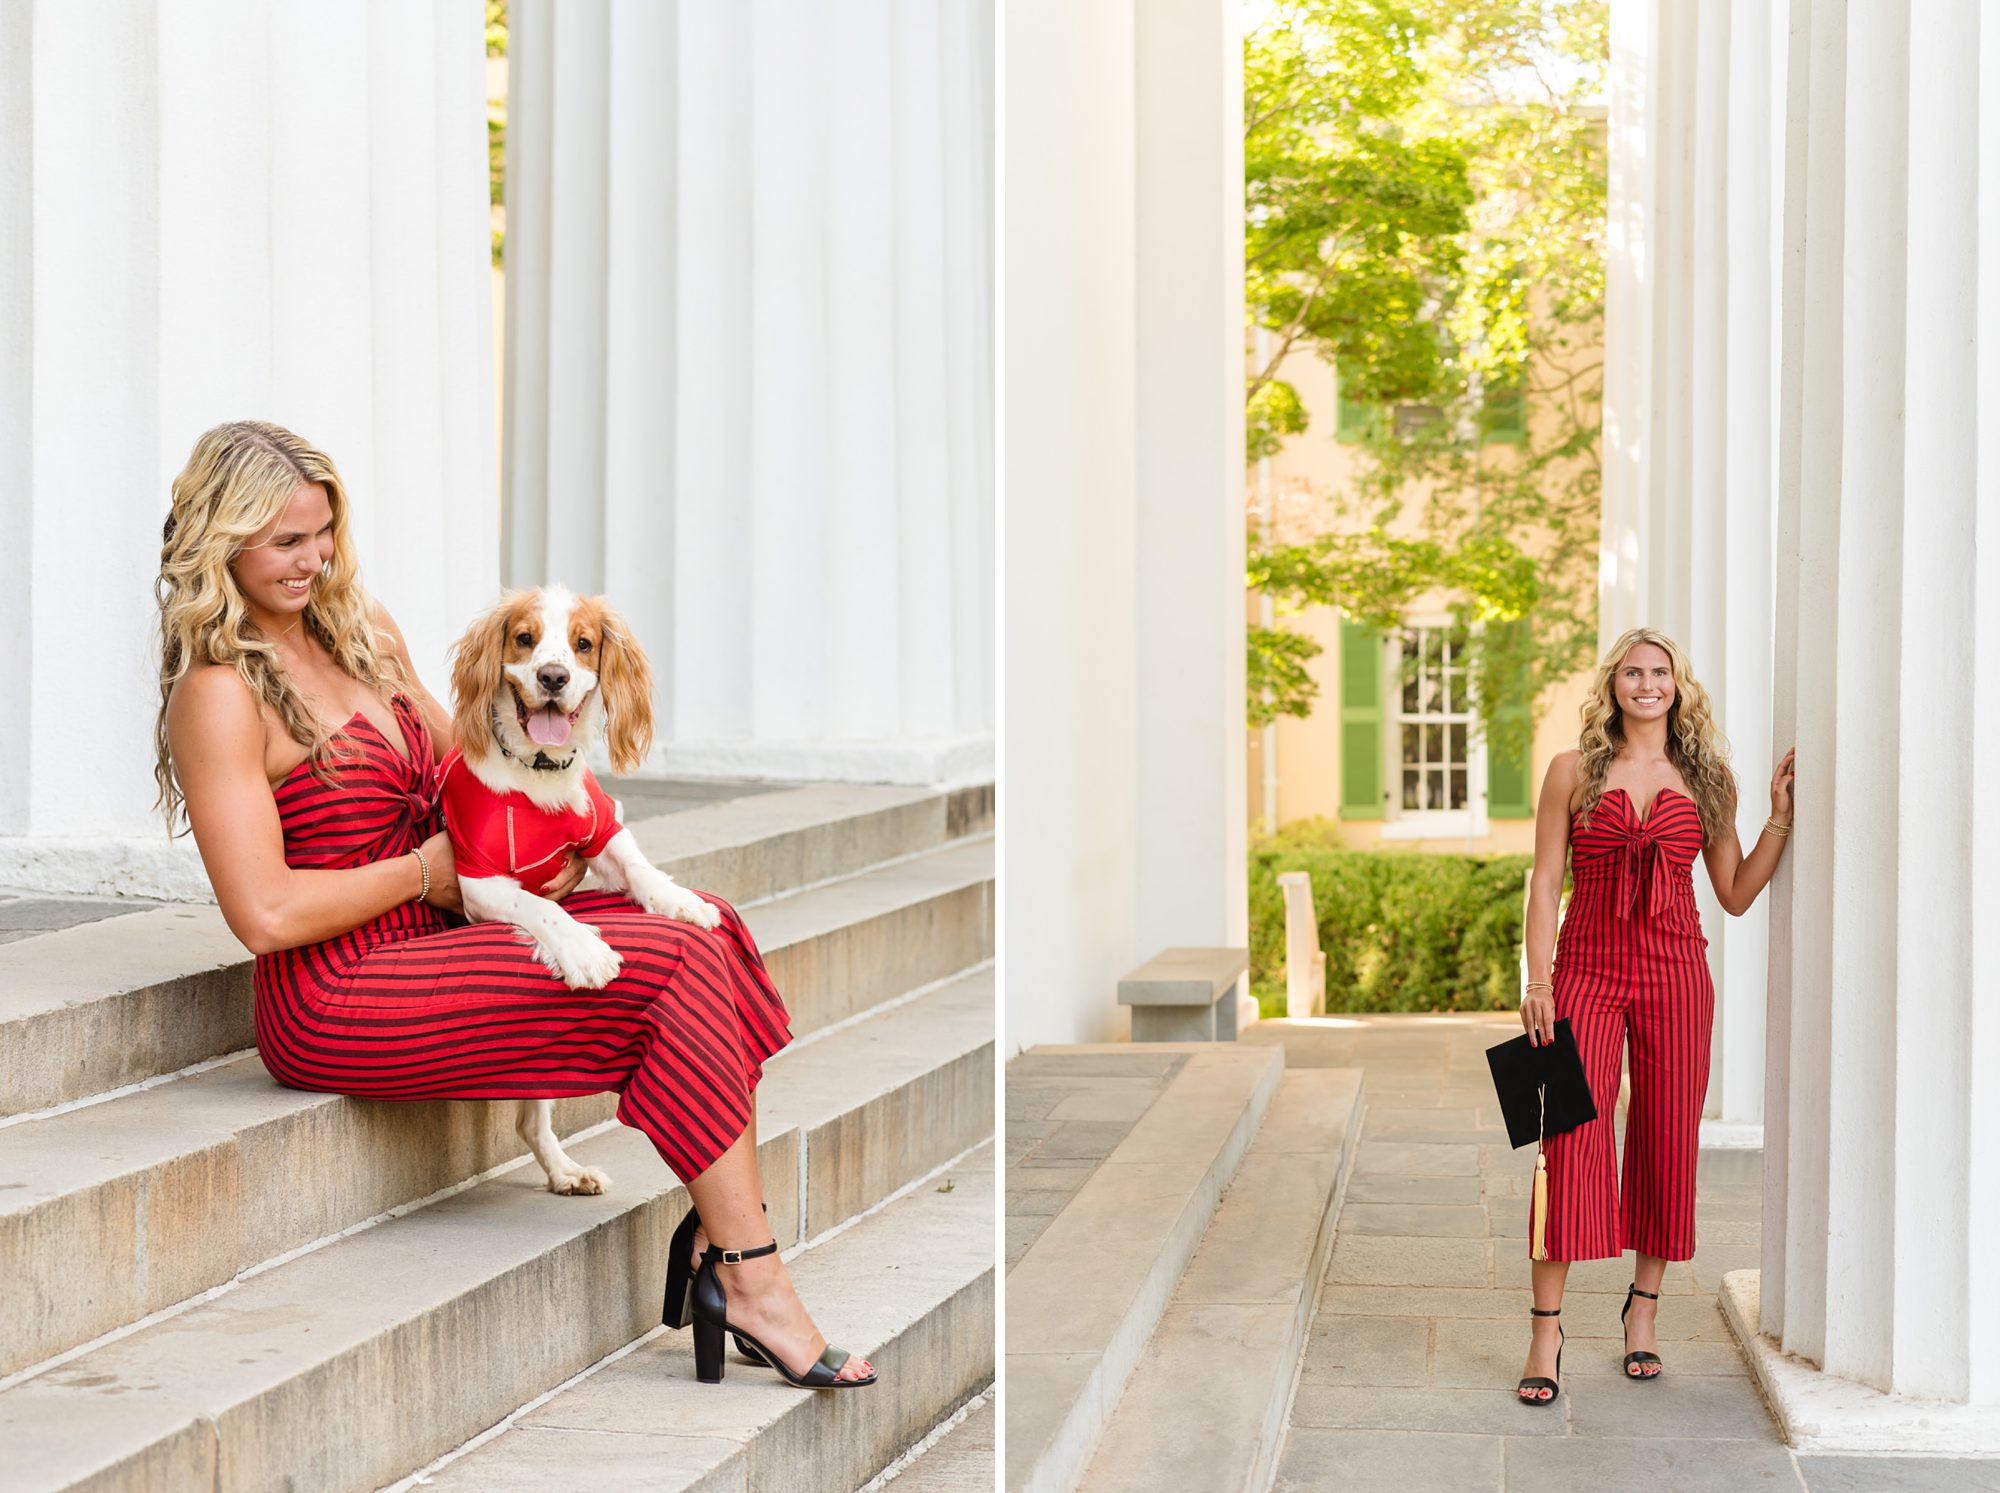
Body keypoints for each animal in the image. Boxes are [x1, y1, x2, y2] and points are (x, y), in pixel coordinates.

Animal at [446, 588, 720, 1192]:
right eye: (524, 639)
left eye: (584, 644)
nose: (553, 676)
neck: (539, 770)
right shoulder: (478, 879)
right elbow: (538, 905)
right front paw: (584, 951)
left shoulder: (602, 831)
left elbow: (639, 867)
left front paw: (682, 902)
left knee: (530, 1121)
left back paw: (565, 1171)